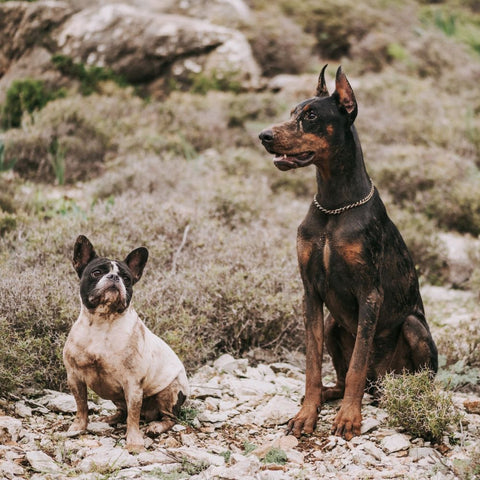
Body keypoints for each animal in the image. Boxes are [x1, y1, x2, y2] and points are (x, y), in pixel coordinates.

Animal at [260, 66, 436, 438]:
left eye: (312, 115)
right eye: (292, 112)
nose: (263, 136)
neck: (334, 206)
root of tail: (380, 385)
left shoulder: (369, 293)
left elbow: (357, 362)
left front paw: (349, 418)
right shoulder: (310, 293)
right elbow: (313, 363)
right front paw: (307, 413)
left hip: (414, 327)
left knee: (403, 378)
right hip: (332, 325)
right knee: (340, 379)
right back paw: (328, 394)